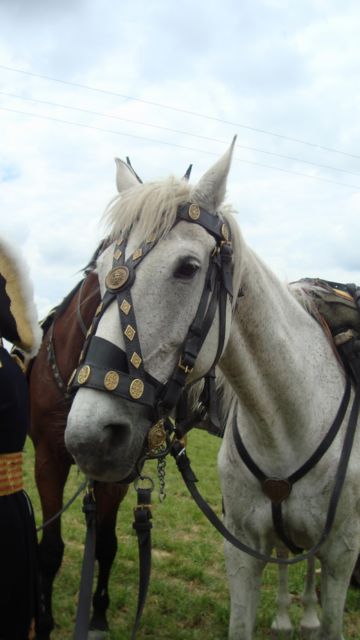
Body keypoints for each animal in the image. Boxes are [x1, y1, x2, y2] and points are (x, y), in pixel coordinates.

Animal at [28, 262, 129, 640]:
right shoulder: (48, 461)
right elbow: (49, 550)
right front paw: (44, 622)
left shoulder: (116, 478)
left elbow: (106, 544)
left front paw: (98, 613)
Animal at [64, 141, 360, 640]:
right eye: (101, 270)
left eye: (188, 268)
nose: (90, 438)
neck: (287, 424)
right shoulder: (241, 550)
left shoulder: (341, 554)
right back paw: (286, 616)